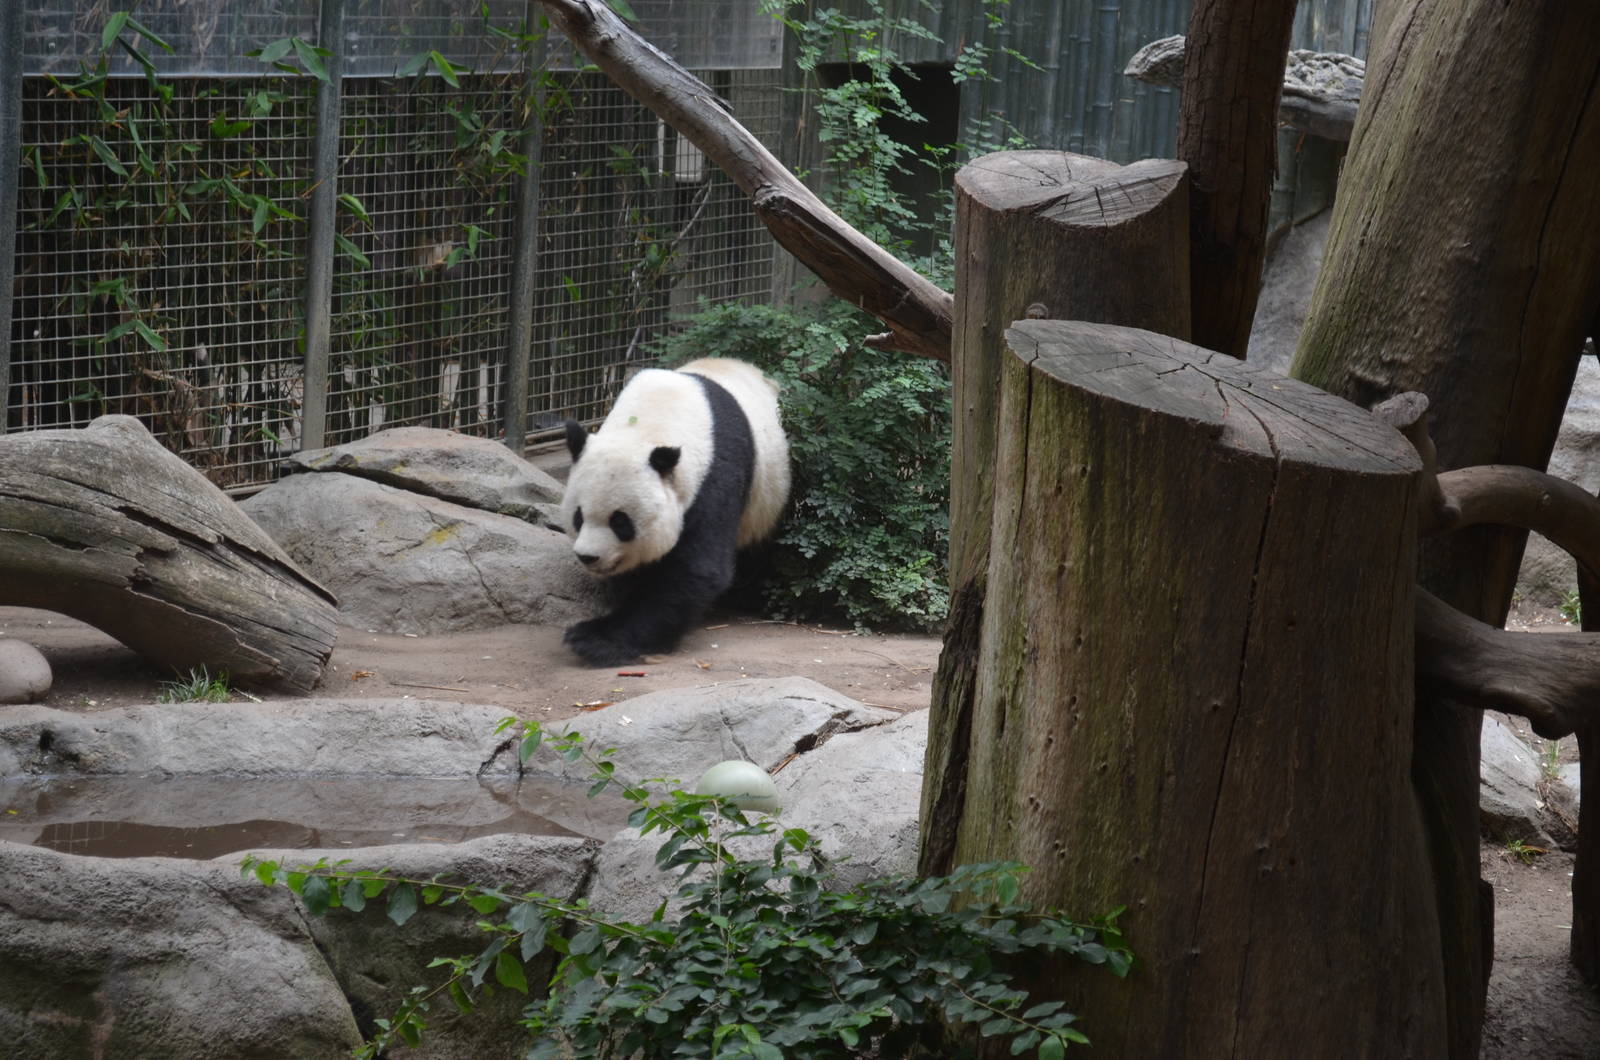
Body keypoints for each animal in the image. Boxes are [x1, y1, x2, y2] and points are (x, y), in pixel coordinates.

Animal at [559, 357, 790, 666]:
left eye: (621, 522)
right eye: (578, 517)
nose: (588, 557)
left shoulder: (716, 477)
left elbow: (695, 570)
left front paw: (596, 639)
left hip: (770, 496)